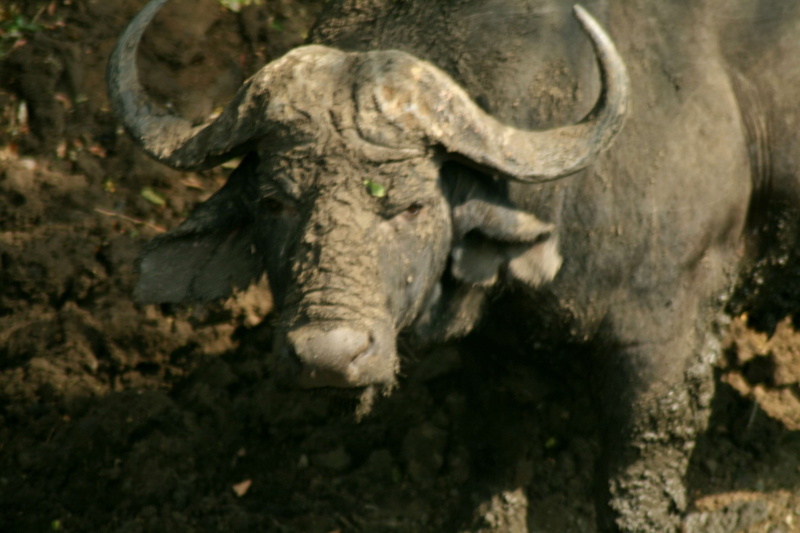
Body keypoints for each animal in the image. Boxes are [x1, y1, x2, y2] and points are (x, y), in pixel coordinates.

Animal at [108, 1, 800, 531]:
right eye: (274, 201)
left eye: (413, 203)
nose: (328, 356)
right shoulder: (498, 352)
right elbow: (497, 453)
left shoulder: (663, 344)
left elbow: (634, 485)